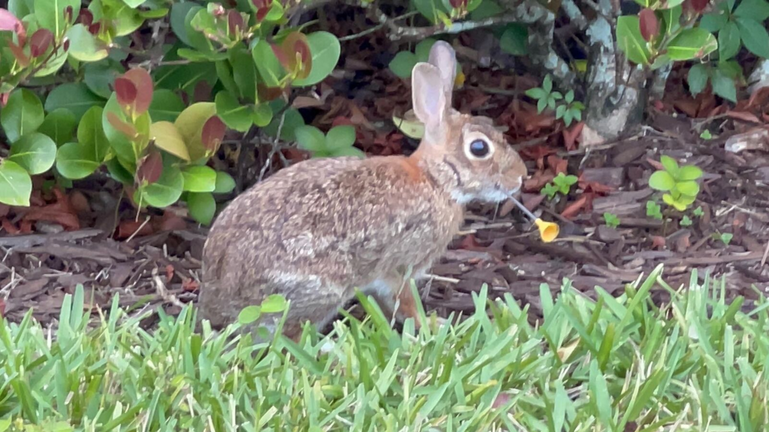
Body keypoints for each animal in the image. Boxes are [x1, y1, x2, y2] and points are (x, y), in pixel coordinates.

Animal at [198, 42, 528, 342]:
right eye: (479, 148)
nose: (521, 176)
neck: (435, 180)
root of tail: (219, 306)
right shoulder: (401, 265)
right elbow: (405, 302)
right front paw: (431, 327)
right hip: (321, 287)